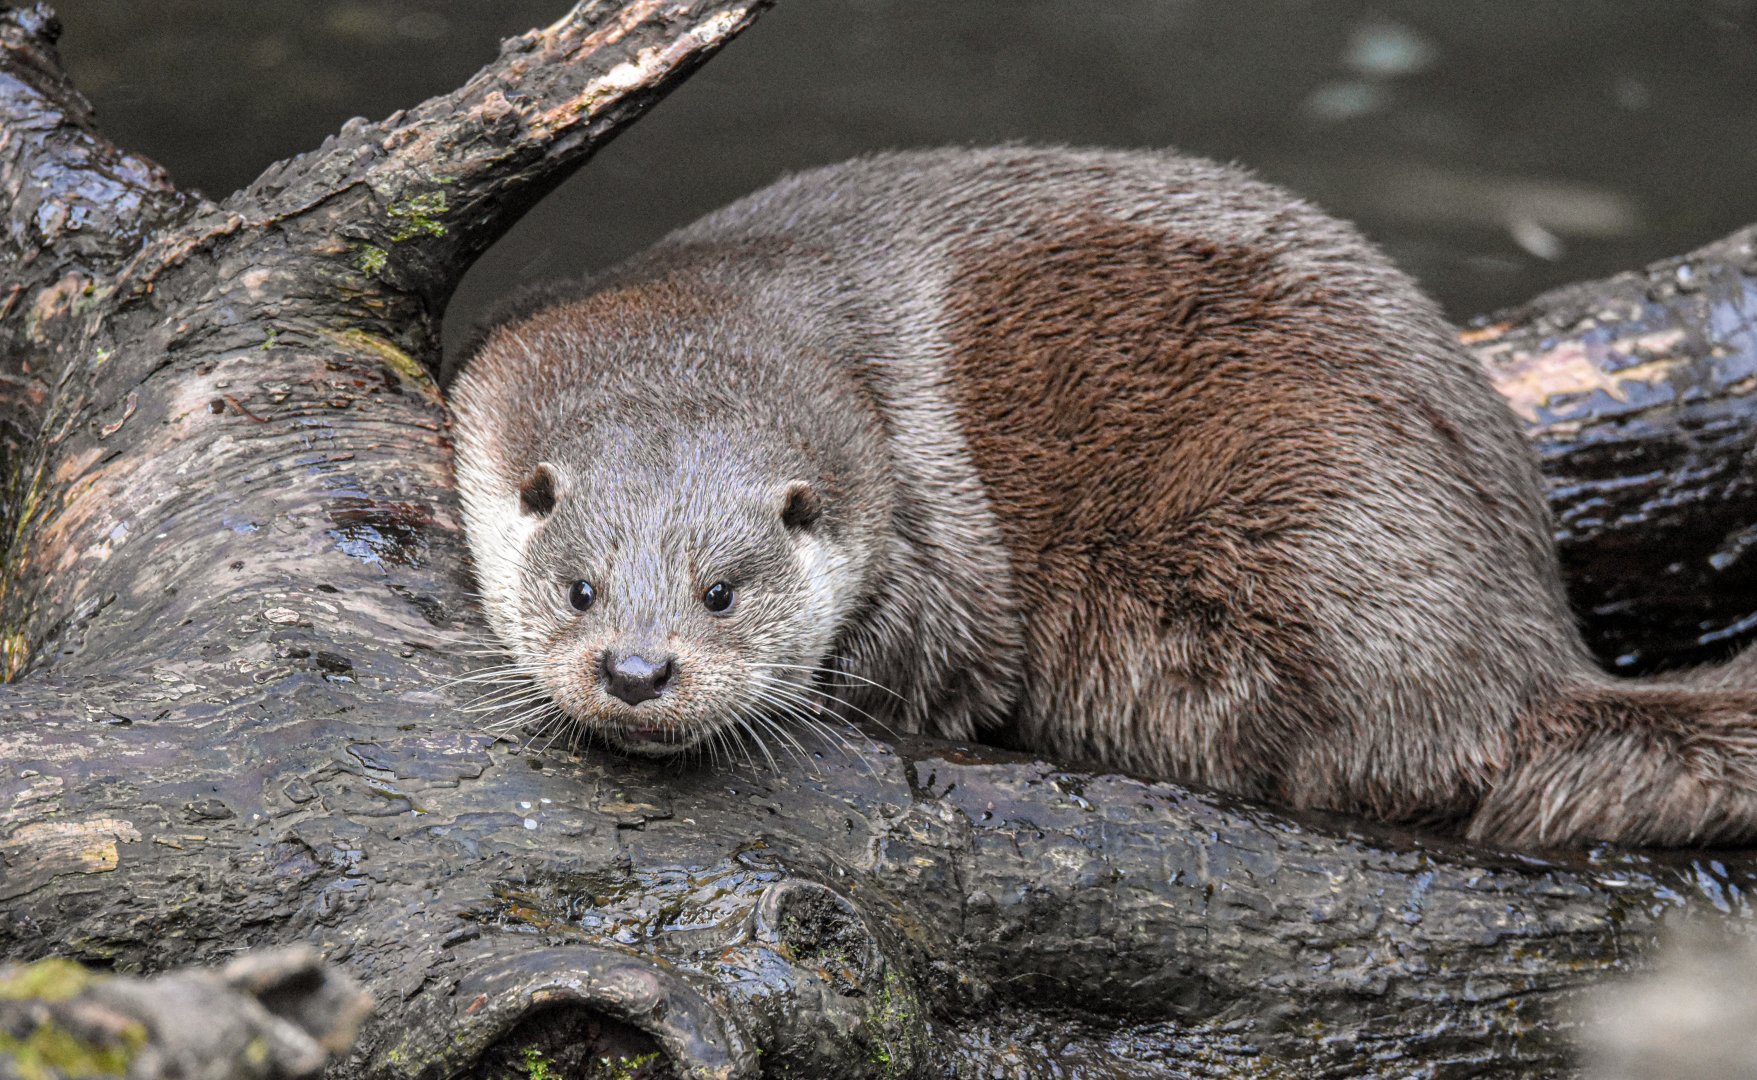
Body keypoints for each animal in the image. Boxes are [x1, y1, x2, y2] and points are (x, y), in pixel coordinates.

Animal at [451, 146, 1757, 849]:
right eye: (580, 588)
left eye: (720, 593)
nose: (637, 671)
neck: (757, 299)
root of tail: (1527, 654)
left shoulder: (935, 523)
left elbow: (935, 669)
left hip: (1303, 531)